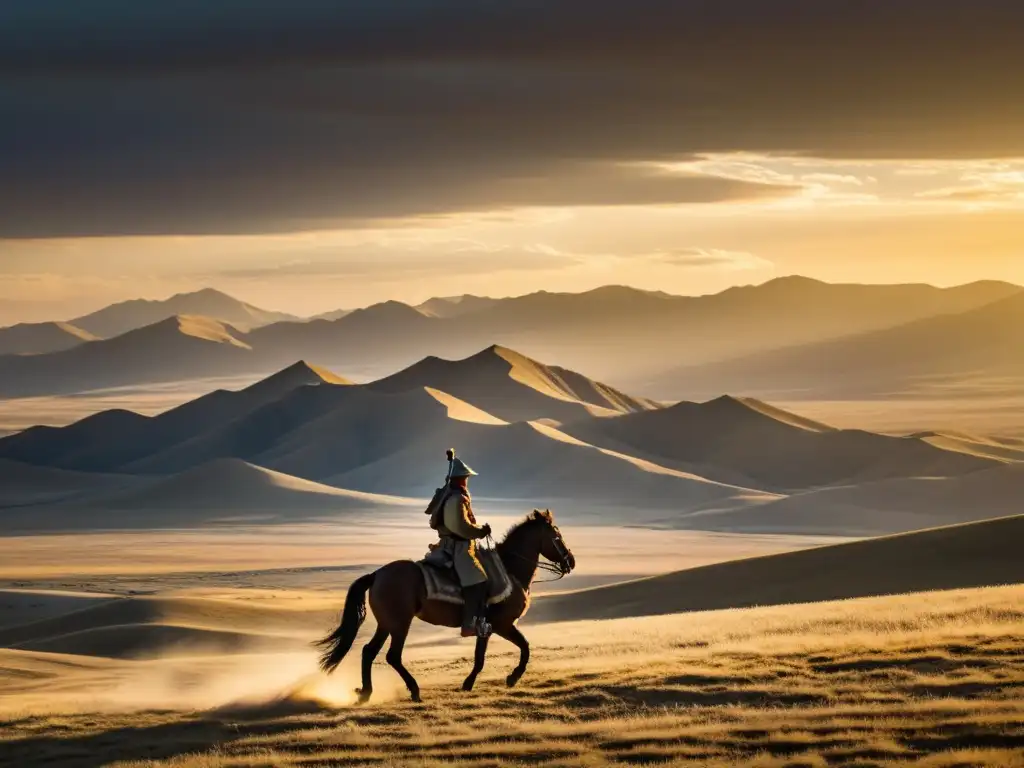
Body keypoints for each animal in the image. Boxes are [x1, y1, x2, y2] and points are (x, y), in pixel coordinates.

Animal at [315, 512, 577, 704]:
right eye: (556, 535)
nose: (570, 561)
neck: (510, 570)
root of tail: (378, 574)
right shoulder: (500, 625)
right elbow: (516, 650)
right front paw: (506, 678)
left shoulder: (492, 627)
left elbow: (505, 651)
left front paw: (482, 682)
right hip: (400, 624)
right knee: (392, 655)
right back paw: (414, 691)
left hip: (386, 624)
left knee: (369, 651)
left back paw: (366, 693)